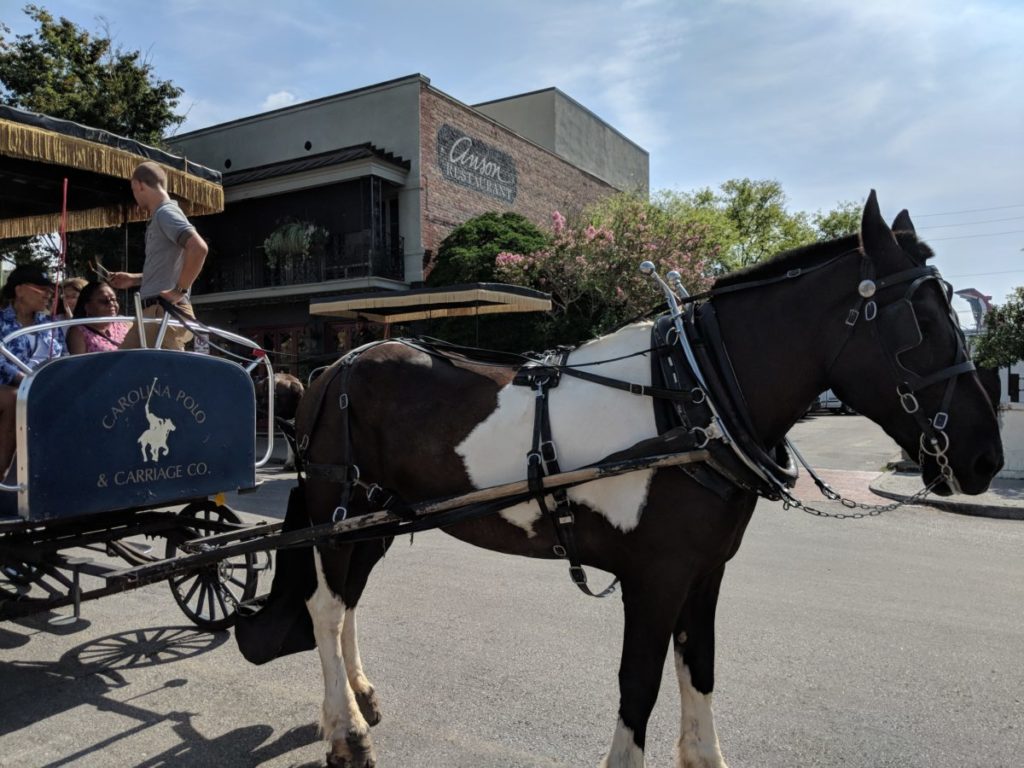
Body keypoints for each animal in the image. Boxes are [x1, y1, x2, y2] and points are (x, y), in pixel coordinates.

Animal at [288, 193, 999, 768]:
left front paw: (705, 755)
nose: (986, 459)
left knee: (350, 602)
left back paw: (358, 697)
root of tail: (336, 367)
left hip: (377, 520)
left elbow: (699, 668)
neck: (695, 397)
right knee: (325, 607)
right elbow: (640, 684)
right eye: (919, 322)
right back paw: (347, 733)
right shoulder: (654, 578)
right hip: (335, 514)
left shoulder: (704, 572)